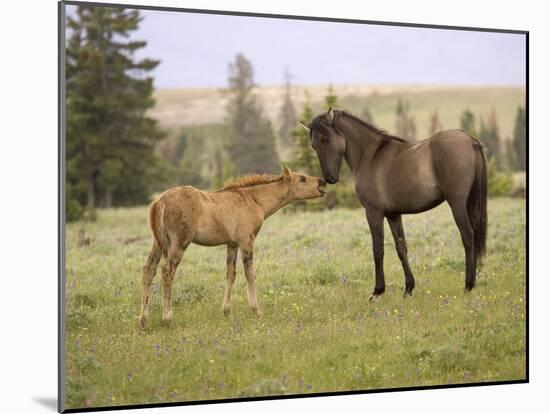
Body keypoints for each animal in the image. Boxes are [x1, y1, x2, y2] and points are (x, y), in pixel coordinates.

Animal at [304, 108, 490, 298]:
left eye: (326, 139)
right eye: (313, 145)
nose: (329, 178)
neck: (370, 156)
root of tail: (470, 140)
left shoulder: (373, 213)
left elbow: (378, 249)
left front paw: (378, 290)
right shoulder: (393, 215)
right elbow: (401, 248)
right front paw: (409, 287)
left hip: (457, 203)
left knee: (468, 235)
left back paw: (468, 285)